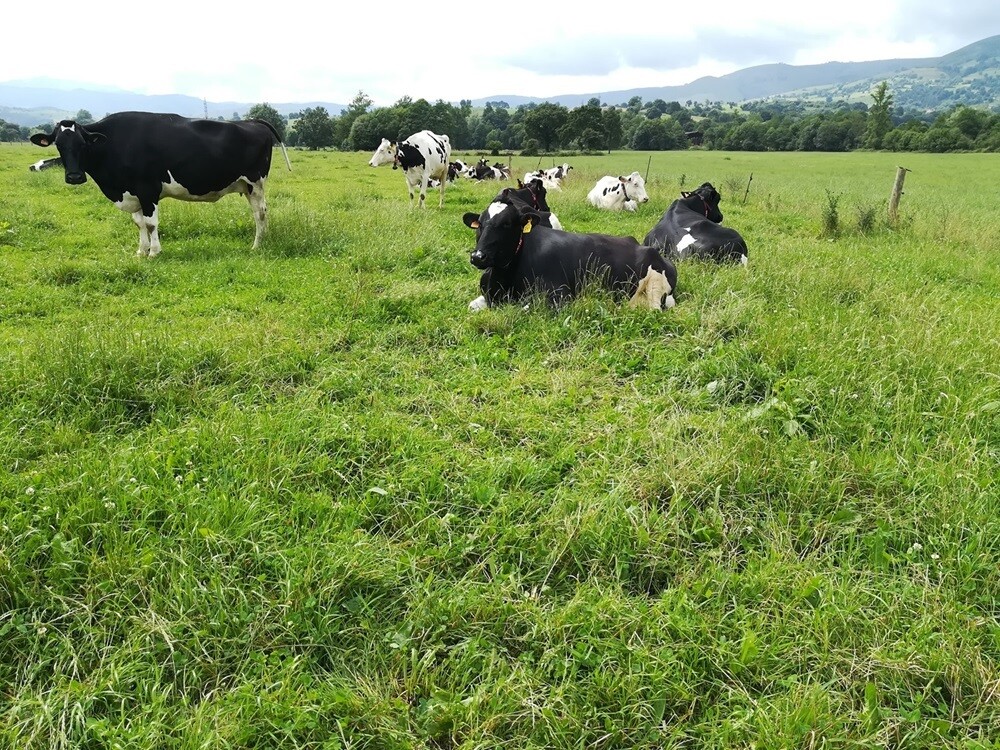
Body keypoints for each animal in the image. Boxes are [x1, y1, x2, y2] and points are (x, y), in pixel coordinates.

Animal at [30, 111, 291, 258]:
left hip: (255, 183)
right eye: (59, 144)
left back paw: (257, 246)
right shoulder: (133, 193)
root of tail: (252, 122)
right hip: (247, 186)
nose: (74, 176)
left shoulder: (148, 190)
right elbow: (139, 224)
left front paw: (154, 252)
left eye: (83, 144)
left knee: (260, 213)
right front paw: (141, 251)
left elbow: (151, 223)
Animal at [462, 194, 677, 312]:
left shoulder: (560, 296)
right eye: (479, 224)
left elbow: (524, 308)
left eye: (507, 224)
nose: (478, 256)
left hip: (654, 289)